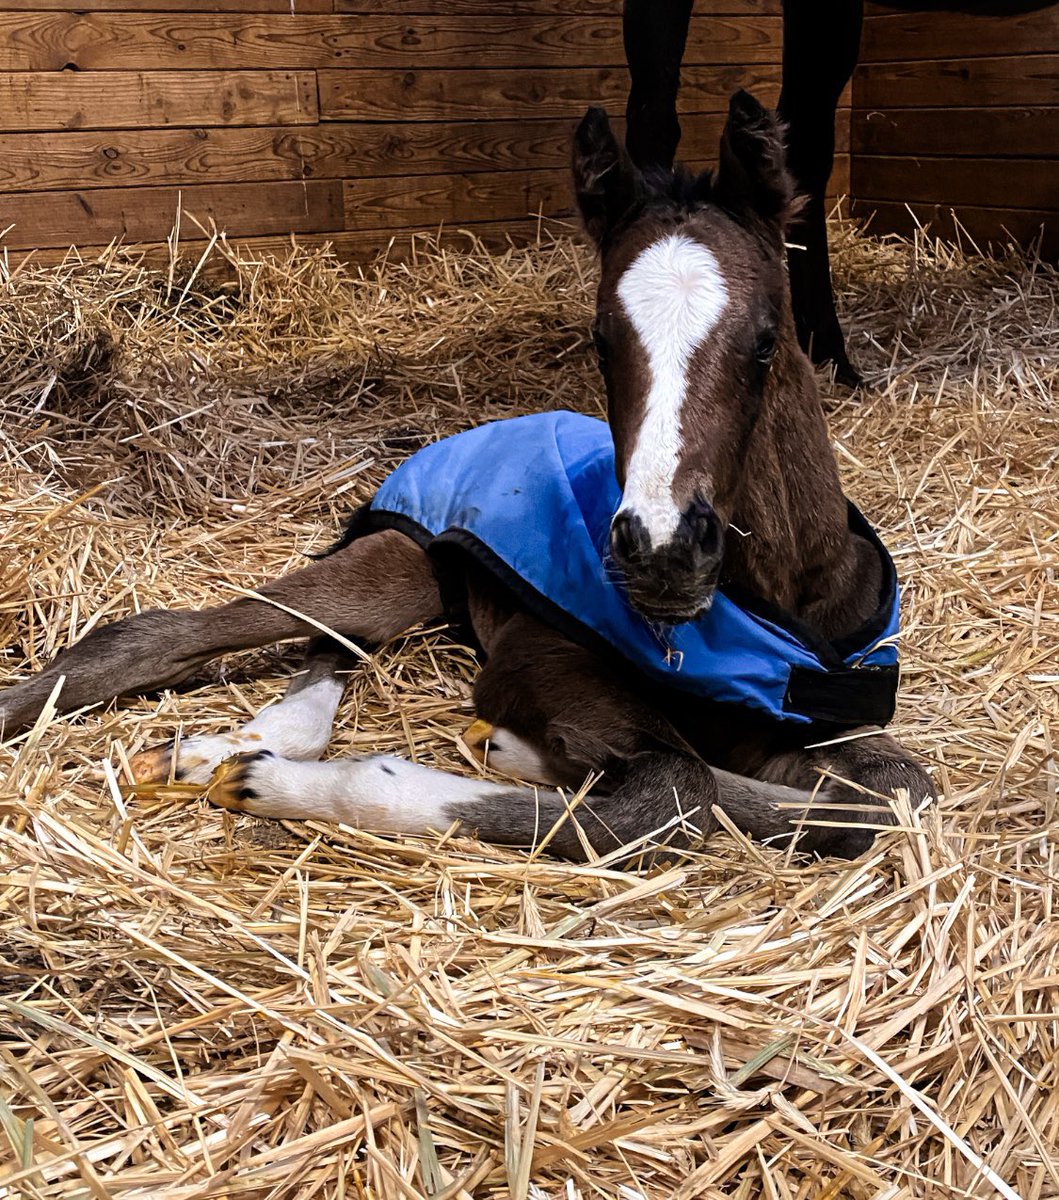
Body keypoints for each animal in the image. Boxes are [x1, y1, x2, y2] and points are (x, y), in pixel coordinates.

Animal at [0, 93, 922, 864]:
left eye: (767, 339)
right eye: (599, 339)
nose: (661, 554)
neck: (775, 601)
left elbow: (894, 794)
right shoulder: (538, 653)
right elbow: (677, 786)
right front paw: (336, 779)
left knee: (329, 651)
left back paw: (220, 751)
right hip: (394, 566)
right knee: (159, 634)